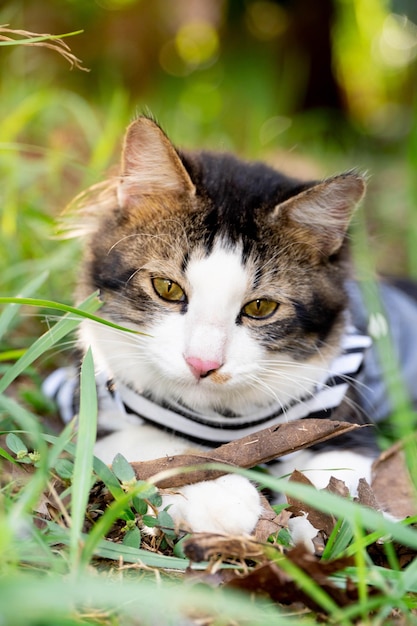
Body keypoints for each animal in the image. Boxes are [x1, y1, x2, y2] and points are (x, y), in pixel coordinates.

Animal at [46, 116, 417, 536]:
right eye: (167, 288)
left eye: (260, 307)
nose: (202, 365)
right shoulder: (88, 401)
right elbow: (161, 446)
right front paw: (223, 497)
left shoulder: (344, 419)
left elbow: (338, 484)